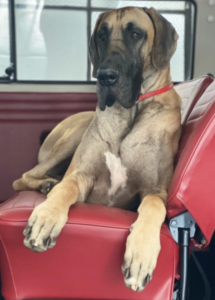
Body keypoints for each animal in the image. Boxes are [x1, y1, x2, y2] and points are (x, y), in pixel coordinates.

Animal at [13, 7, 181, 292]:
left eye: (135, 34)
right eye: (101, 36)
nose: (104, 76)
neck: (130, 113)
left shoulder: (155, 190)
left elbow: (153, 207)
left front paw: (141, 256)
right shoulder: (79, 176)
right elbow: (65, 188)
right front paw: (46, 217)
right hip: (75, 134)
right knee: (24, 177)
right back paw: (46, 185)